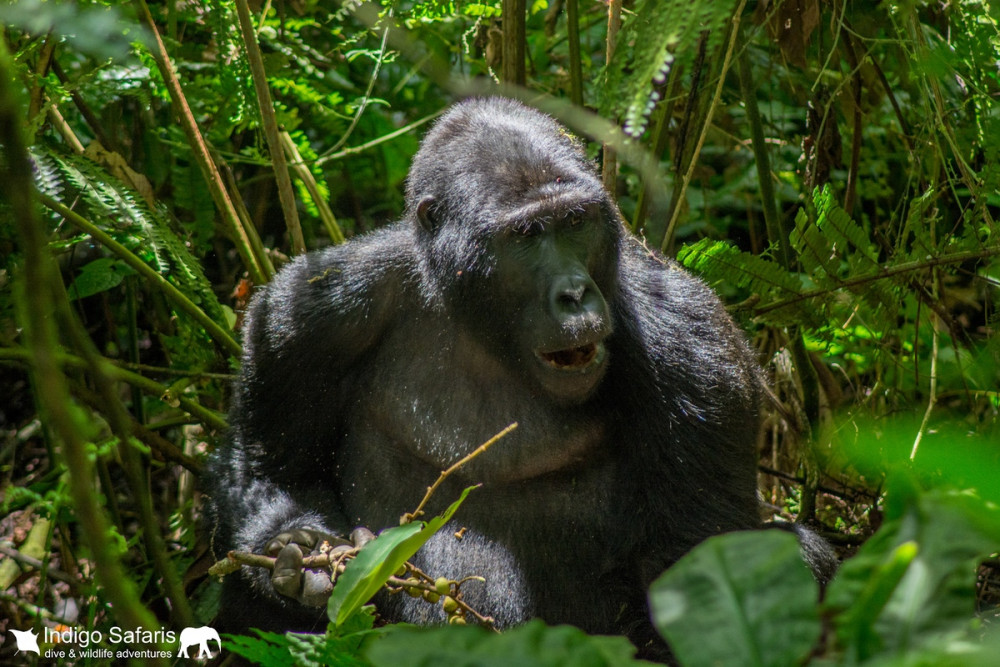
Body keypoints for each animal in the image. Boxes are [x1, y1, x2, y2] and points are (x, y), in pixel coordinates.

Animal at [205, 96, 836, 648]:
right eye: (528, 234)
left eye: (576, 221)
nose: (575, 293)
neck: (478, 319)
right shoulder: (309, 311)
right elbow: (272, 472)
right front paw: (299, 554)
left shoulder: (693, 340)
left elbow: (701, 574)